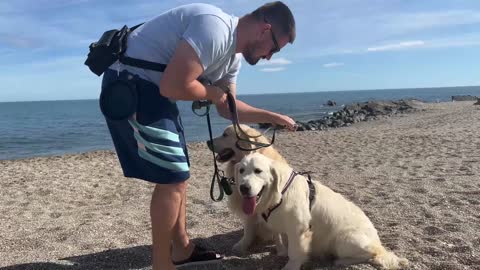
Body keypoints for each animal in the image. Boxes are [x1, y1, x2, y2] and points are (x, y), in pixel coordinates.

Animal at [207, 125, 288, 254]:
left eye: (225, 135)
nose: (207, 142)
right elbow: (248, 229)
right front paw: (242, 246)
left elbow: (277, 233)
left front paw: (281, 250)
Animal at [234, 153, 406, 270]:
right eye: (241, 170)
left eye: (258, 171)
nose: (243, 188)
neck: (280, 193)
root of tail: (378, 241)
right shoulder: (279, 224)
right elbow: (281, 240)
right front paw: (281, 252)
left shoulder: (299, 230)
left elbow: (294, 253)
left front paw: (290, 265)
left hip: (344, 240)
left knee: (374, 254)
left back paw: (341, 260)